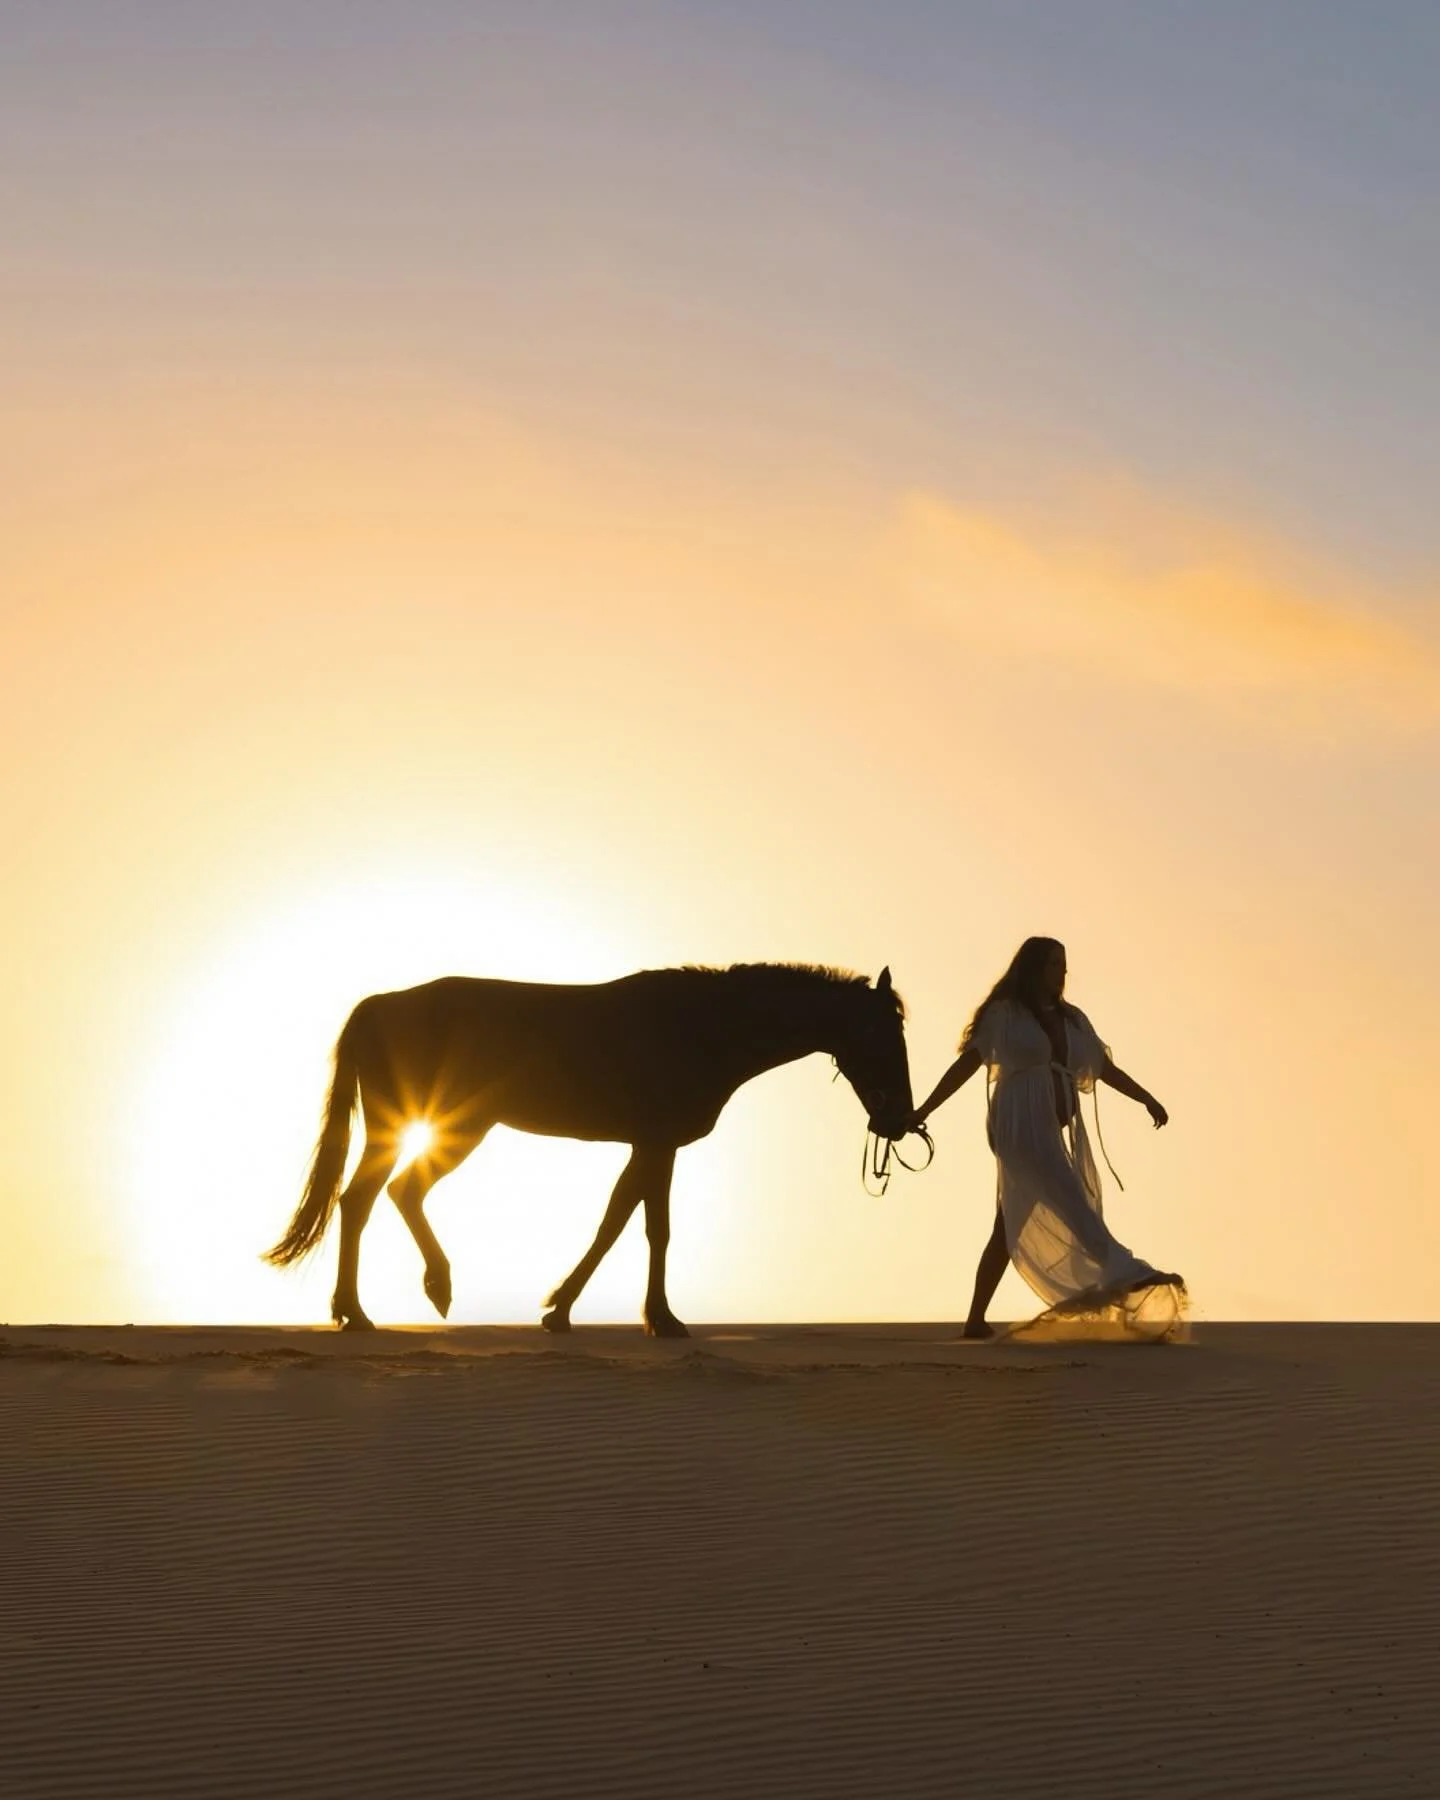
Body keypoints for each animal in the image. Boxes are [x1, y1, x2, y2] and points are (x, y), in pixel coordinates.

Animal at [264, 962, 913, 1336]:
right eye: (880, 1032)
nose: (900, 1120)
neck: (703, 1026)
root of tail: (379, 1005)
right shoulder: (658, 1142)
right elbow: (648, 1228)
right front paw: (660, 1319)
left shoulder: (648, 1146)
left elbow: (622, 1221)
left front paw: (565, 1309)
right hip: (438, 1126)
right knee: (373, 1197)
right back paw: (376, 1305)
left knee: (385, 1195)